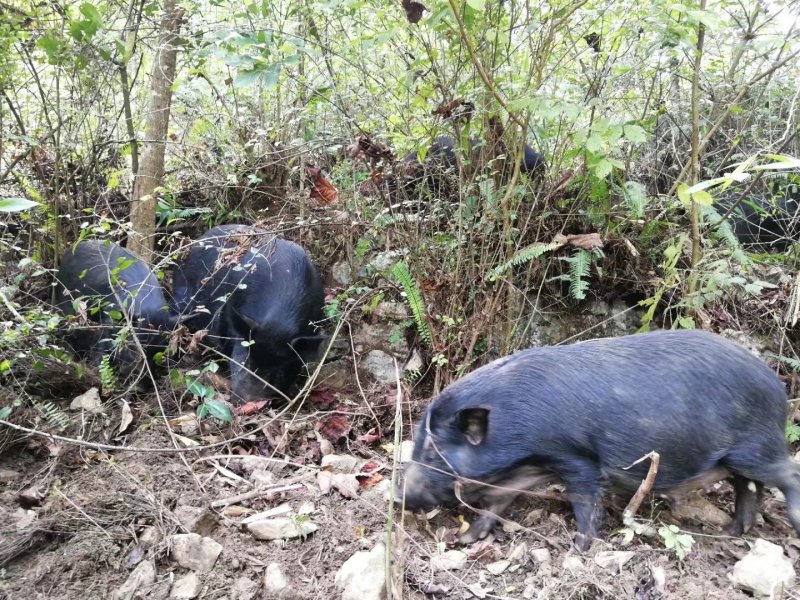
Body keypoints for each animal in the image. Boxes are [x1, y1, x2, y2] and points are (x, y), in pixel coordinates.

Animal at [398, 330, 800, 552]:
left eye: (434, 452)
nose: (399, 495)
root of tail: (779, 388)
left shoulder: (577, 458)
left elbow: (583, 502)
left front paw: (580, 548)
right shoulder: (536, 464)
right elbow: (500, 496)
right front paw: (468, 539)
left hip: (755, 448)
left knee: (786, 475)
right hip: (736, 458)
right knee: (747, 487)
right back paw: (731, 532)